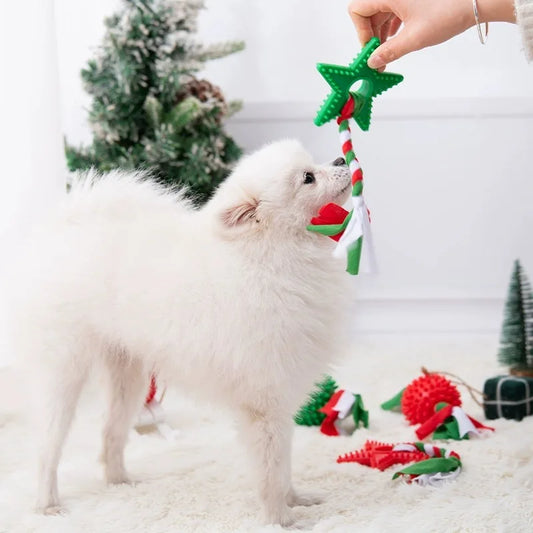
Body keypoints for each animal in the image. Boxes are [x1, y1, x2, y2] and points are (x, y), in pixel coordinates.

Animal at [9, 139, 354, 524]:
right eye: (308, 178)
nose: (341, 160)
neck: (268, 257)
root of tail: (60, 232)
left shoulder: (281, 400)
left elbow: (285, 466)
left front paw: (297, 500)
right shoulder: (264, 404)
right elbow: (271, 471)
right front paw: (279, 520)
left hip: (128, 377)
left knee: (110, 431)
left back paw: (120, 482)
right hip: (62, 373)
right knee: (47, 449)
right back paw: (48, 504)